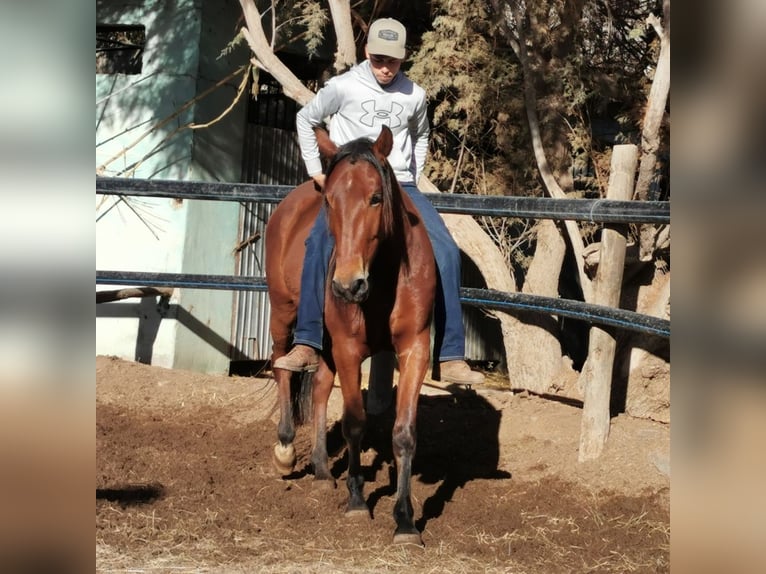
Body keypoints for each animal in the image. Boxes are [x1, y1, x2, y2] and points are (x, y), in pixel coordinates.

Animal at [264, 127, 436, 548]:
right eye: (330, 201)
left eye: (376, 197)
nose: (347, 285)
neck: (385, 276)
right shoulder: (348, 349)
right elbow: (355, 422)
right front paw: (358, 501)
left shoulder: (415, 349)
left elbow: (404, 433)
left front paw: (405, 521)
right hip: (283, 312)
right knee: (282, 368)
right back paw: (286, 450)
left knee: (320, 387)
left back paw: (323, 471)